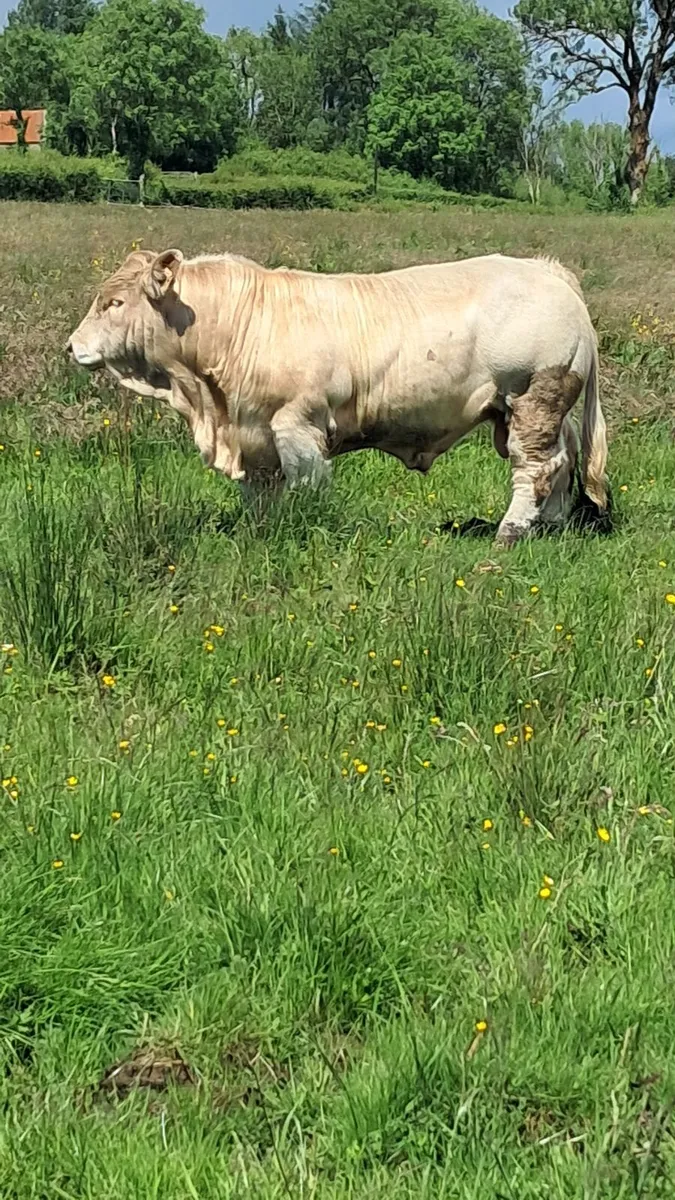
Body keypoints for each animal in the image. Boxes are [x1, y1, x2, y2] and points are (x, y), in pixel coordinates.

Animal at [67, 248, 608, 545]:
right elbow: (259, 494)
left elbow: (306, 486)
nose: (71, 346)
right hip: (542, 410)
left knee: (535, 468)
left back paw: (511, 532)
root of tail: (547, 271)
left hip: (533, 397)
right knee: (562, 462)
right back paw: (550, 525)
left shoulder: (296, 424)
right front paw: (258, 532)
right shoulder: (254, 431)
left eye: (115, 302)